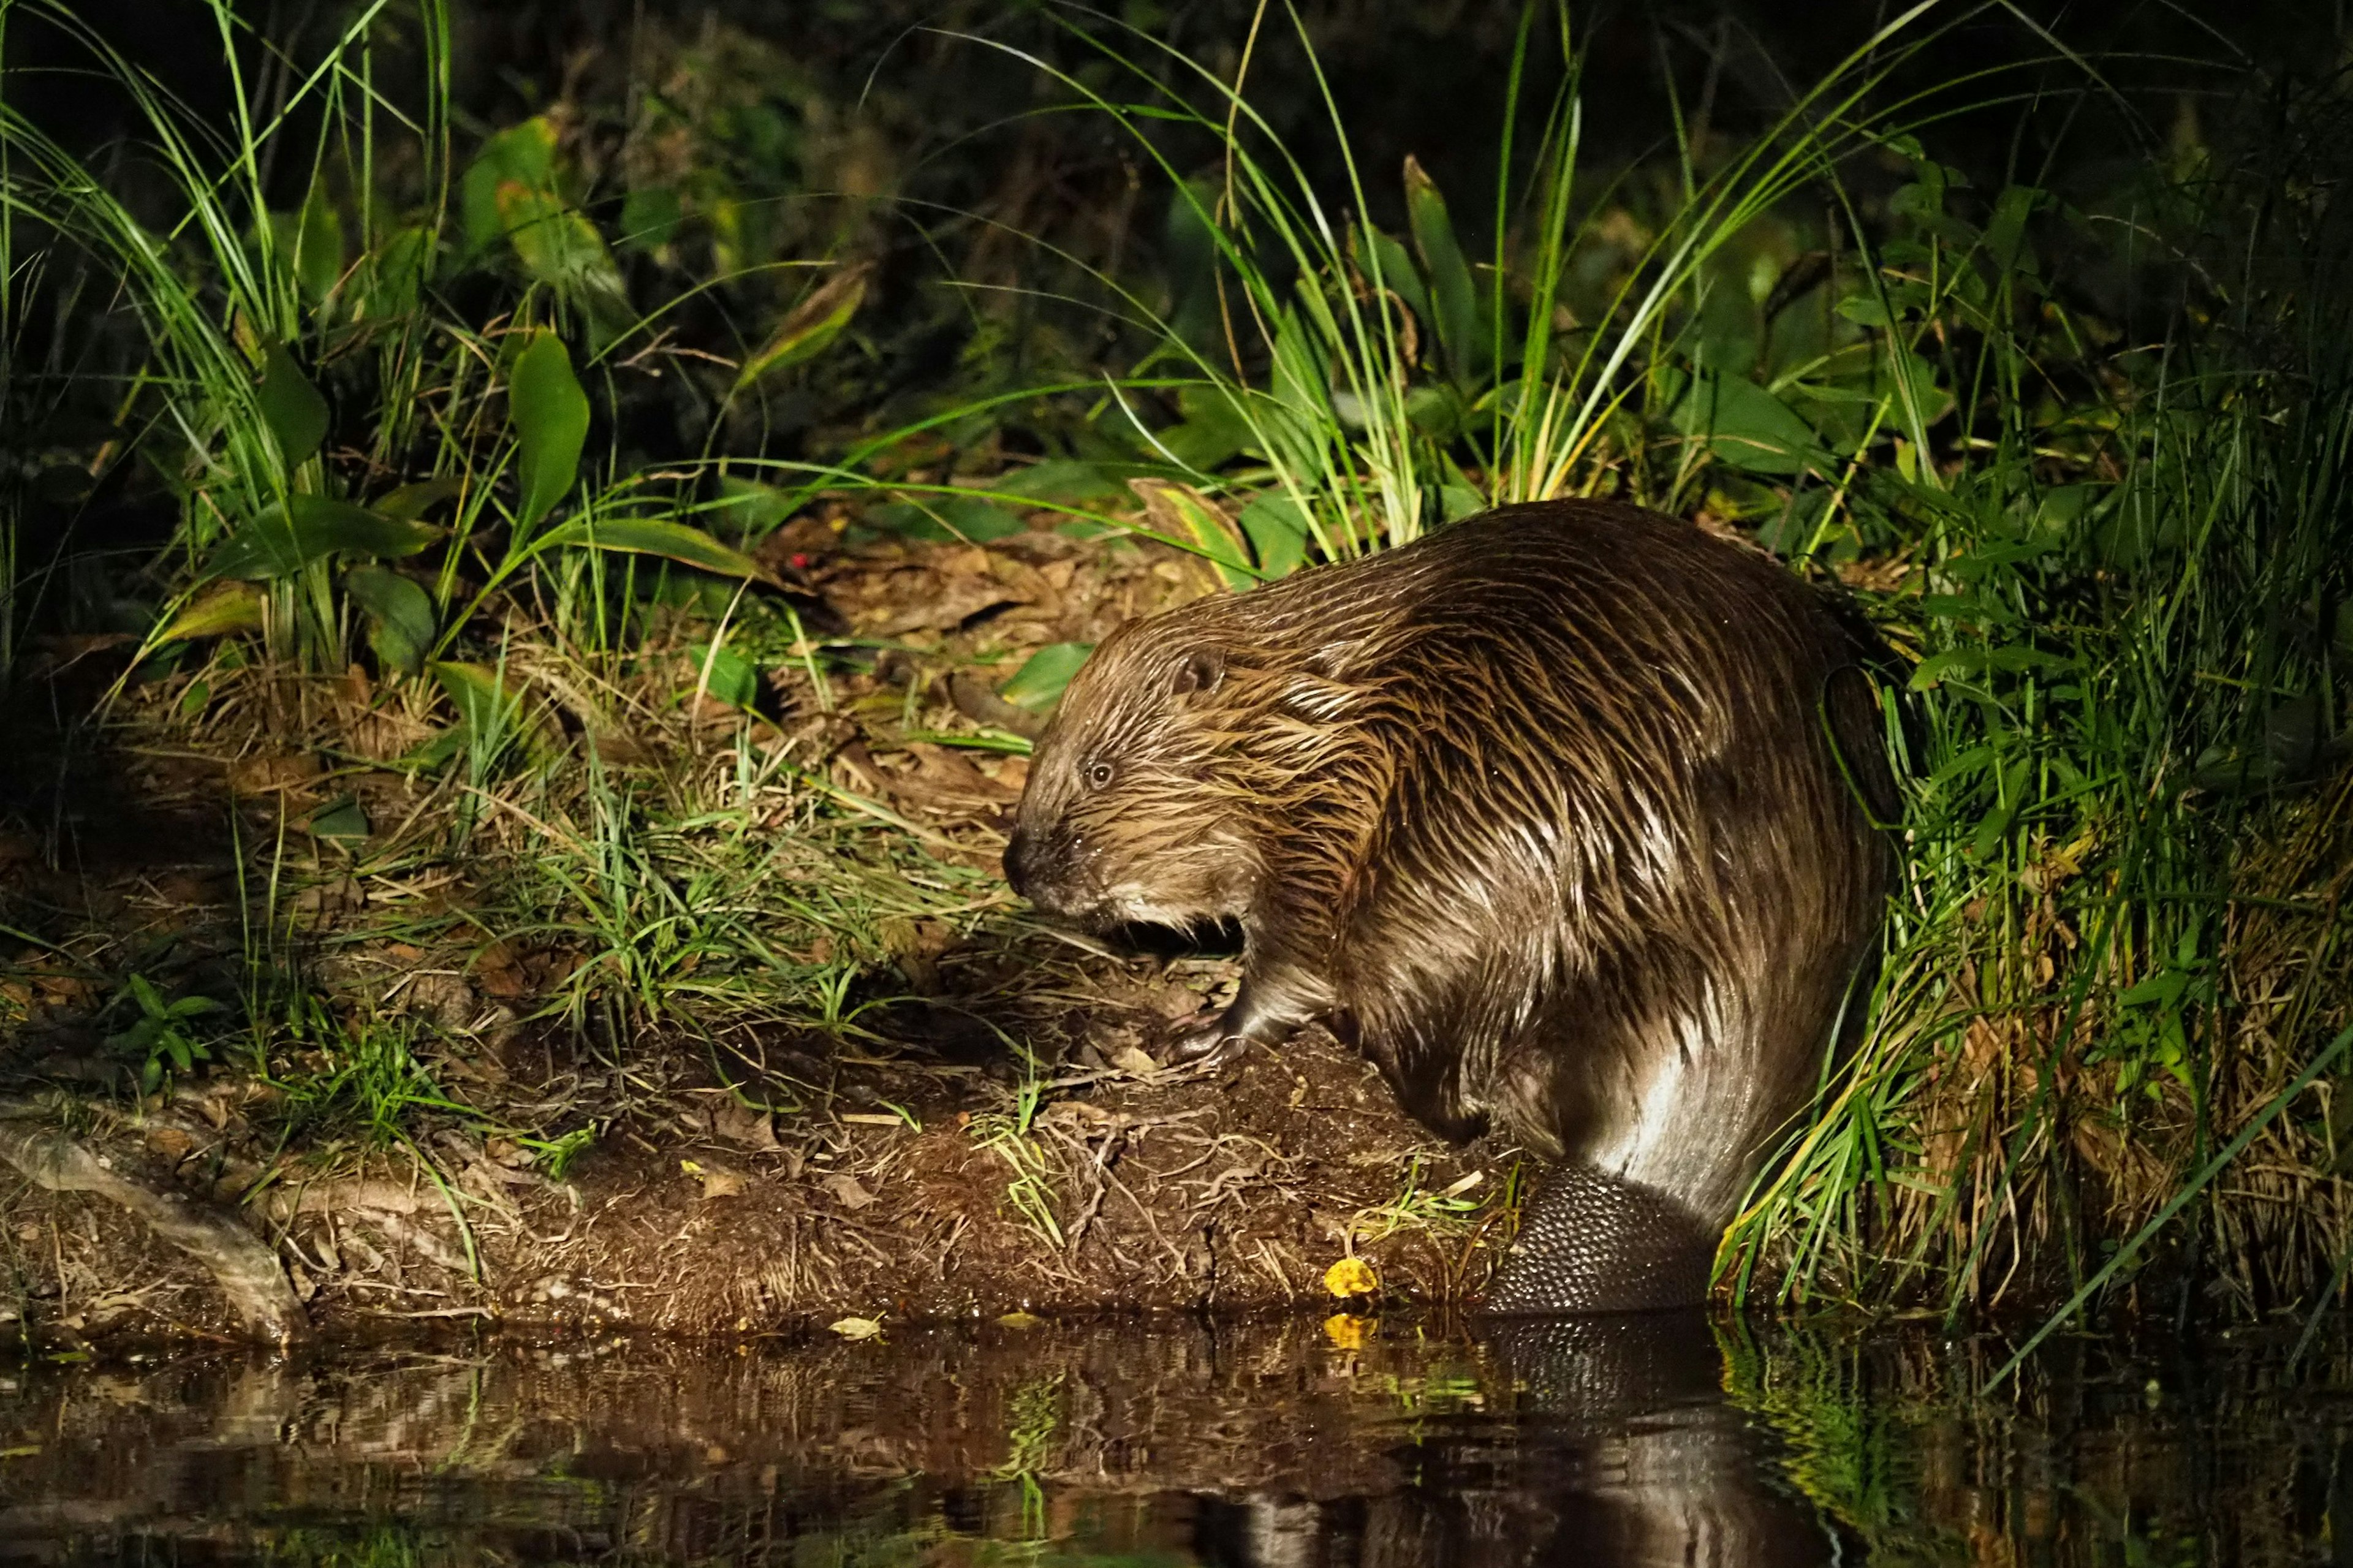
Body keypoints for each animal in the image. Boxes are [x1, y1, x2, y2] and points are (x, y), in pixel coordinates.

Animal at [1002, 501, 1901, 1309]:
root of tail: (1656, 1171)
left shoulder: (1327, 824)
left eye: (1100, 771)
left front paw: (1196, 1031)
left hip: (1447, 869)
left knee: (1442, 1083)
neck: (1312, 708)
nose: (1018, 867)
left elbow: (1291, 959)